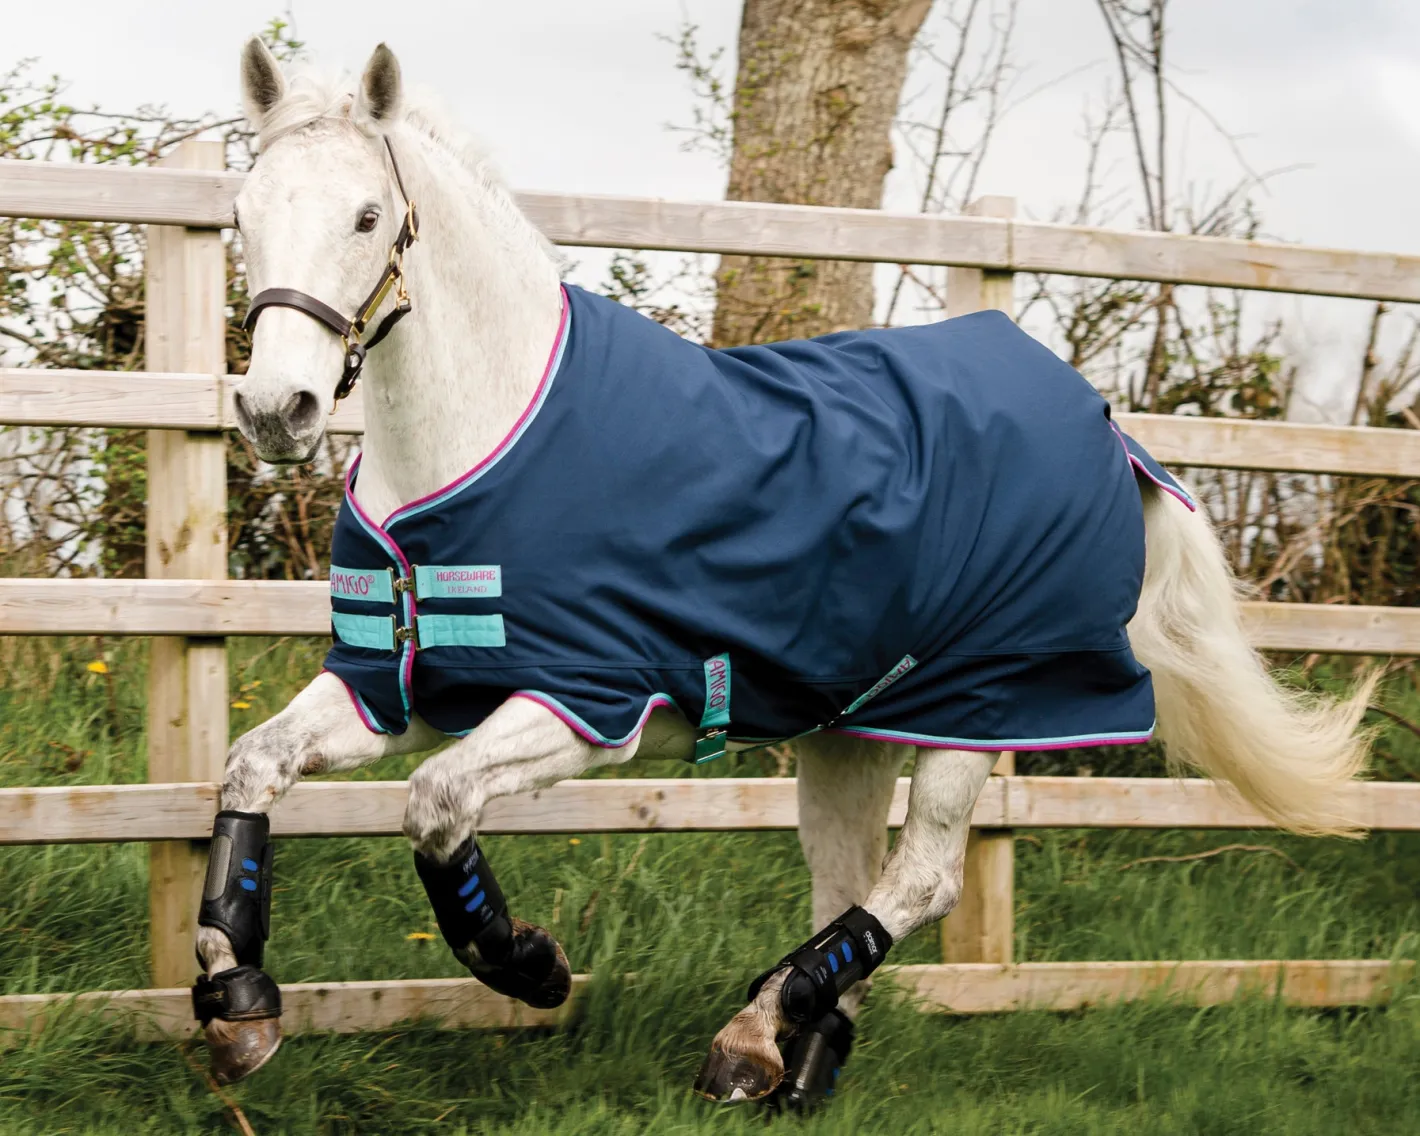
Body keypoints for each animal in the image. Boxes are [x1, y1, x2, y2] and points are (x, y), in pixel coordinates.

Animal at [196, 36, 1375, 1107]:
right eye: (242, 216)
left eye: (365, 217)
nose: (276, 409)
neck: (480, 443)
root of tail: (1107, 427)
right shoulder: (391, 689)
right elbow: (251, 767)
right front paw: (235, 1003)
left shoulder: (586, 704)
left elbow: (436, 807)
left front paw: (531, 964)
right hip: (851, 729)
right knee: (848, 877)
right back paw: (796, 1056)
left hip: (983, 708)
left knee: (921, 877)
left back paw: (752, 1030)